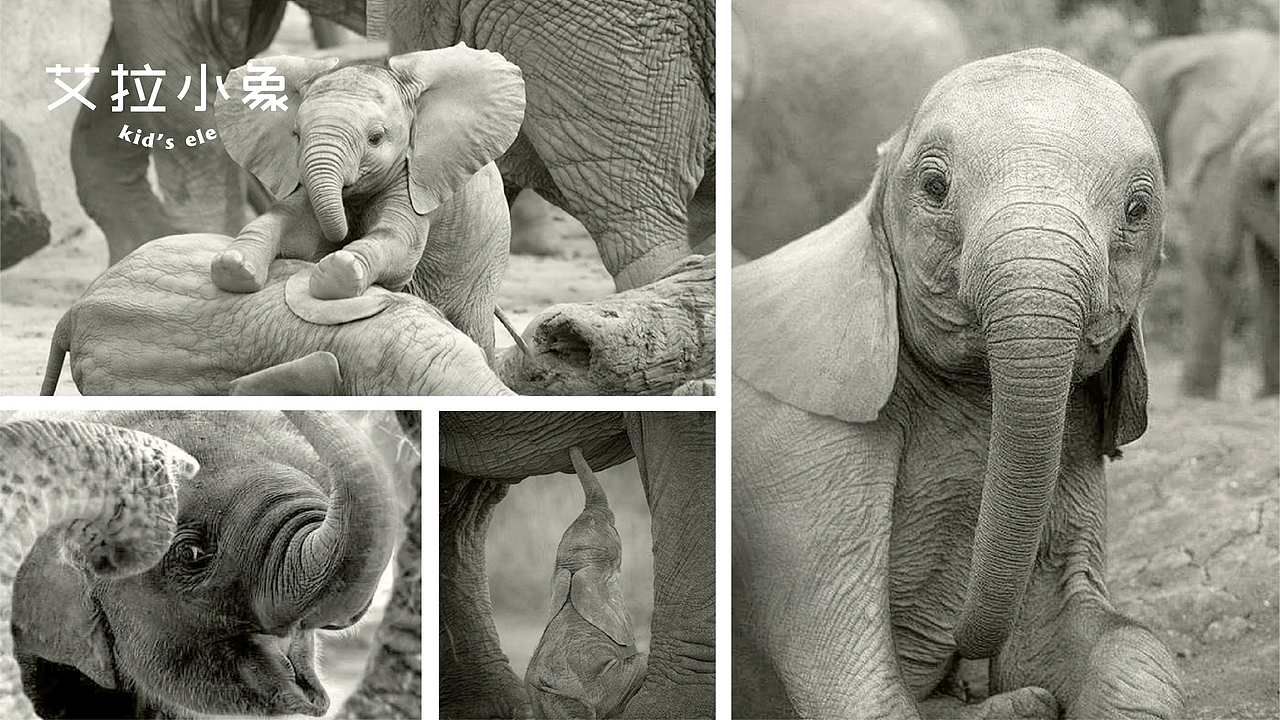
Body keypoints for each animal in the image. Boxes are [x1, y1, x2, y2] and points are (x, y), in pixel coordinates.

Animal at [211, 45, 524, 309]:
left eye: (375, 138)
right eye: (296, 135)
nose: (343, 236)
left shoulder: (415, 181)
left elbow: (398, 242)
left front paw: (335, 272)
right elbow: (288, 223)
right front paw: (232, 266)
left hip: (487, 259)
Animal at [732, 49, 1182, 719]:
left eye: (1137, 210)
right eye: (934, 188)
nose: (964, 656)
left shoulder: (1074, 438)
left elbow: (1085, 638)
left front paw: (1031, 686)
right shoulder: (800, 453)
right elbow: (850, 677)